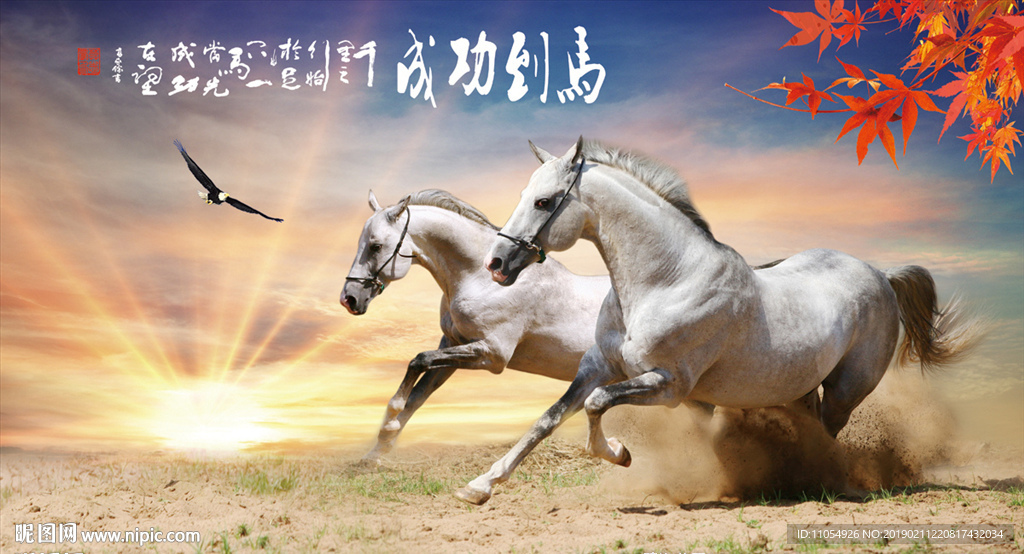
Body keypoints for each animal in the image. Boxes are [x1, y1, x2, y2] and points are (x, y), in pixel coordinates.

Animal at [341, 189, 610, 464]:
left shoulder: (493, 355)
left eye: (375, 246)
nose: (349, 299)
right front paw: (375, 453)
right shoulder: (453, 346)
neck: (482, 280)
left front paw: (388, 424)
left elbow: (418, 361)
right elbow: (417, 396)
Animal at [469, 137, 980, 504]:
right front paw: (480, 486)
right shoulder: (598, 366)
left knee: (829, 435)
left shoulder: (670, 386)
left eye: (543, 201)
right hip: (799, 388)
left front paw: (620, 454)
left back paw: (819, 483)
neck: (667, 280)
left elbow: (596, 406)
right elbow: (549, 418)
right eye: (524, 195)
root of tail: (880, 274)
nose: (496, 263)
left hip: (846, 389)